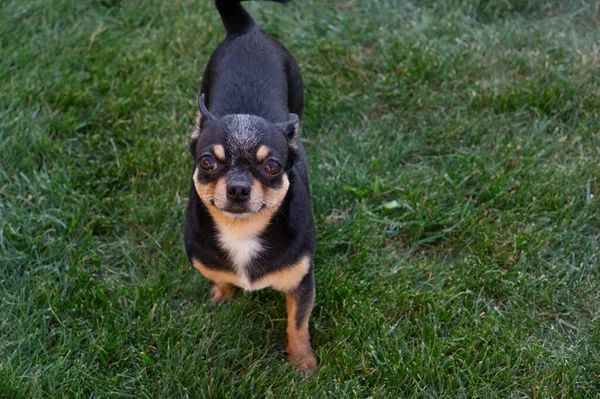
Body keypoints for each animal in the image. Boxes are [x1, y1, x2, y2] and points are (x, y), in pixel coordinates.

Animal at [183, 0, 316, 376]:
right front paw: (221, 296)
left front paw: (303, 362)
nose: (239, 188)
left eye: (272, 166)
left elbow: (297, 323)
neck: (242, 230)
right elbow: (220, 277)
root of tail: (246, 29)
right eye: (207, 162)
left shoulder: (302, 281)